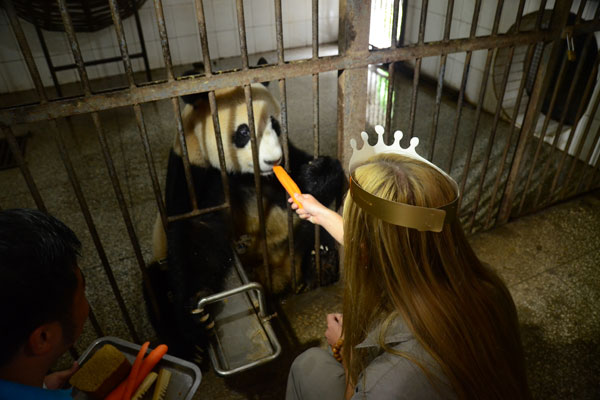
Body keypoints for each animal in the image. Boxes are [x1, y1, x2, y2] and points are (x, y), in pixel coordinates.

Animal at [146, 60, 344, 360]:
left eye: (275, 124)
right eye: (243, 132)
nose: (272, 159)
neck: (246, 174)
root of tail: (276, 282)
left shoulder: (280, 165)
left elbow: (298, 175)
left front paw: (316, 175)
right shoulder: (193, 172)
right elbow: (196, 231)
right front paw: (197, 317)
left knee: (310, 230)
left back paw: (321, 261)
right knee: (154, 287)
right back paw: (188, 349)